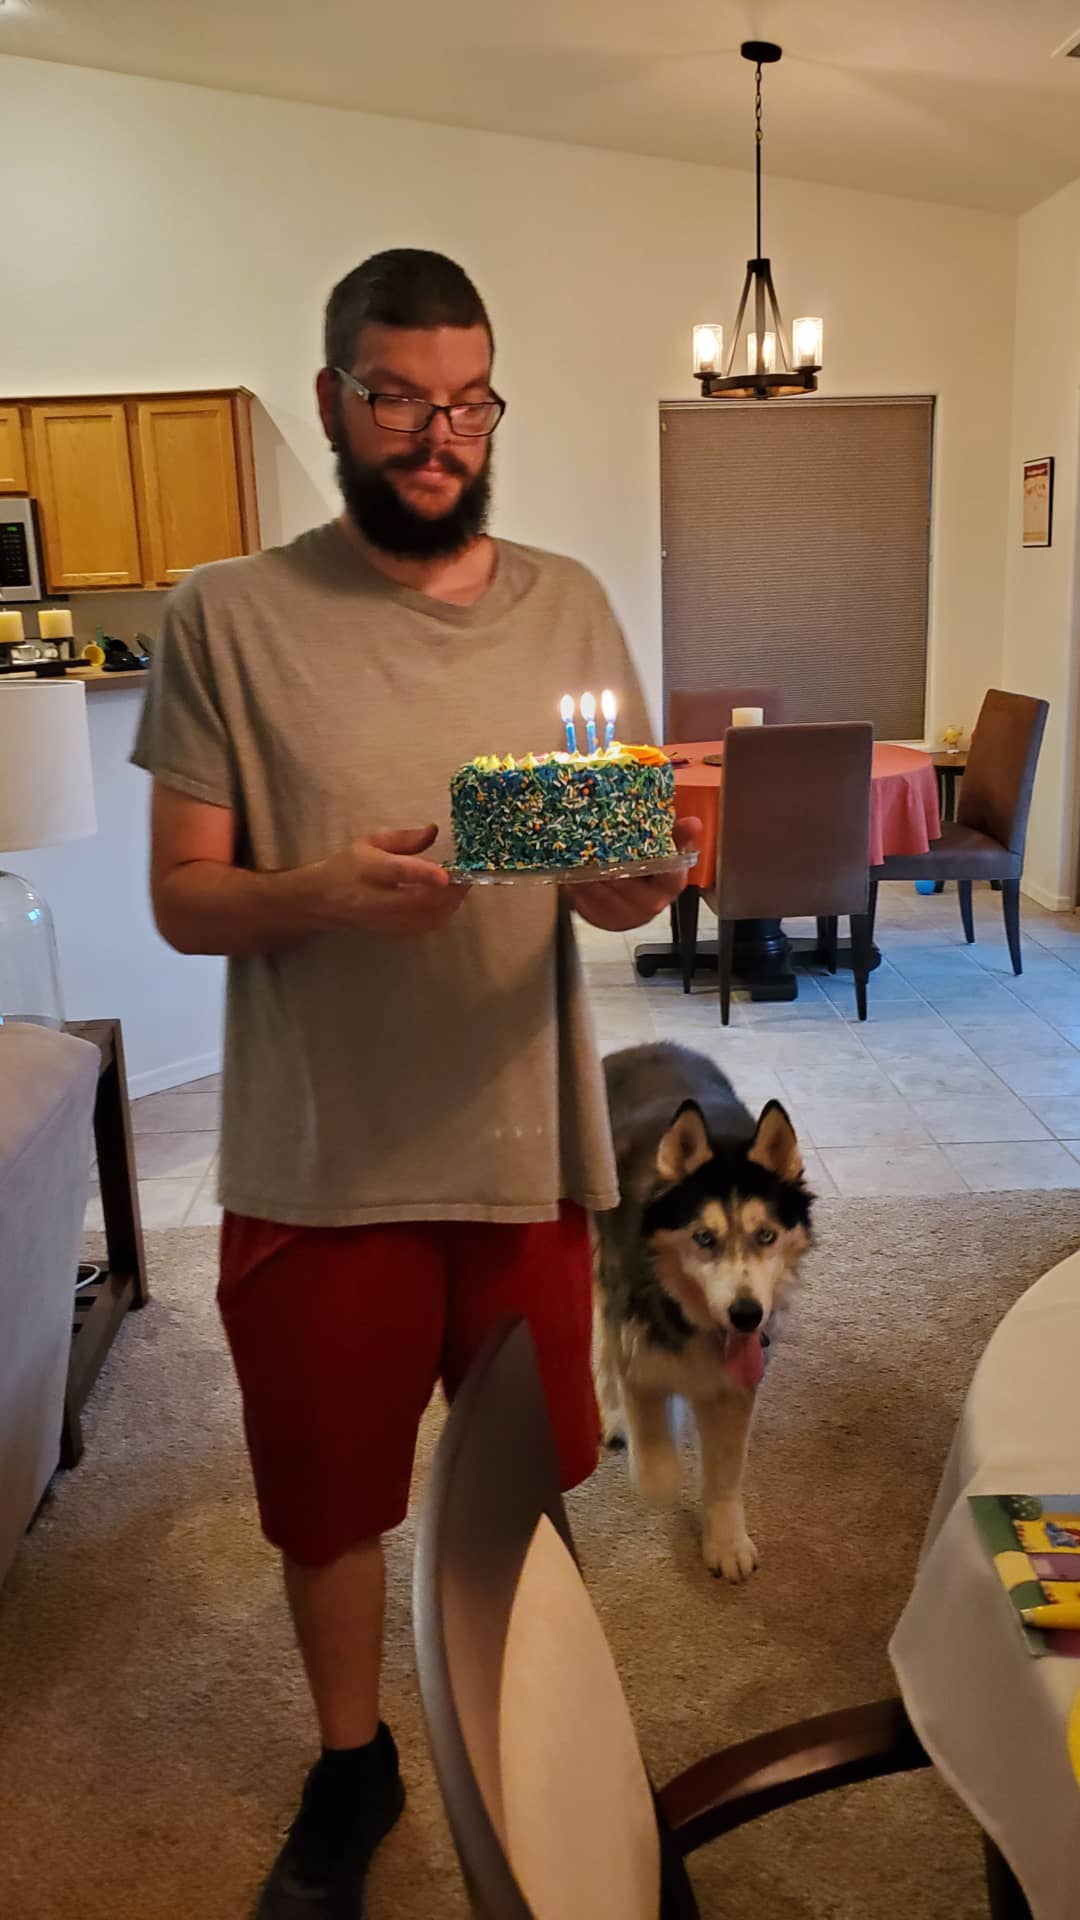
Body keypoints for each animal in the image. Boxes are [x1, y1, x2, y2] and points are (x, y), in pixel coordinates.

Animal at [593, 1041, 813, 1582]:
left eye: (766, 1235)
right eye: (703, 1238)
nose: (746, 1314)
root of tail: (640, 1048)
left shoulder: (736, 1385)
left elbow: (726, 1472)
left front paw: (726, 1541)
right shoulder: (640, 1351)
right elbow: (656, 1462)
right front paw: (660, 1461)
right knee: (603, 1339)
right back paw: (613, 1412)